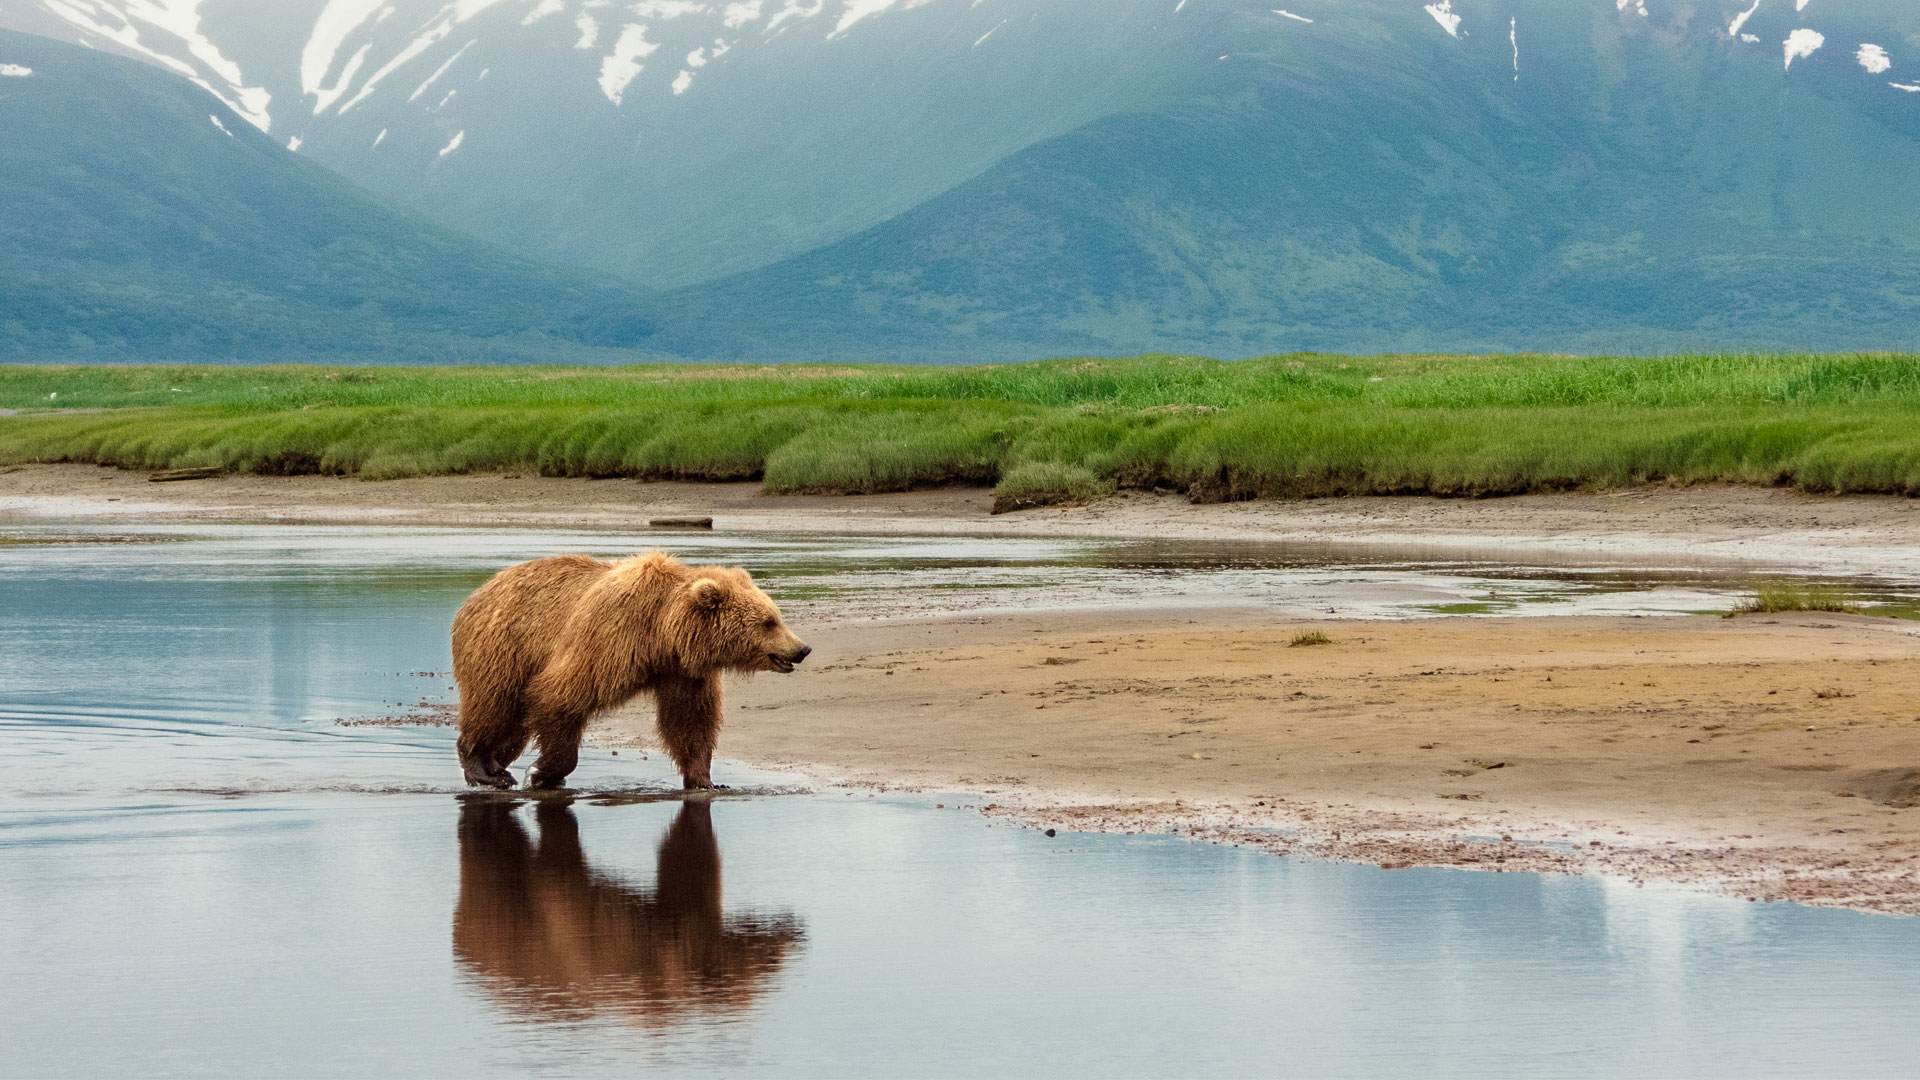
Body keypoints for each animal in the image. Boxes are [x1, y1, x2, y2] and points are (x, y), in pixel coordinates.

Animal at [451, 549, 810, 787]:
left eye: (776, 616)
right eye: (769, 622)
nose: (802, 648)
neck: (661, 633)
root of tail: (478, 592)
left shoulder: (681, 672)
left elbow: (689, 720)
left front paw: (706, 780)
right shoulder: (611, 636)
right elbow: (560, 695)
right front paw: (542, 773)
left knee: (512, 724)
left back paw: (497, 765)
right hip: (503, 646)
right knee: (494, 704)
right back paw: (483, 768)